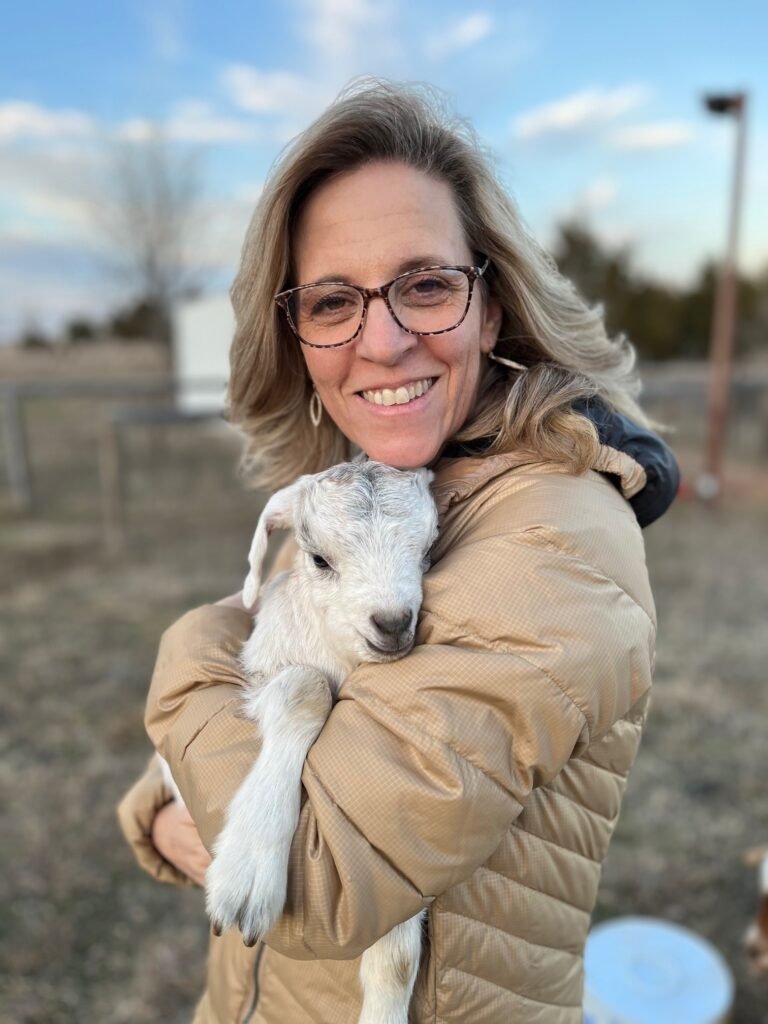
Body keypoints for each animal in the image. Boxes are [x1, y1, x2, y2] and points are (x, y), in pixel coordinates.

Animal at [161, 459, 439, 1024]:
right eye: (318, 559)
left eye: (427, 550)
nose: (393, 624)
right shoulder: (264, 673)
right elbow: (303, 690)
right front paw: (247, 873)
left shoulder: (404, 855)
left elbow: (397, 943)